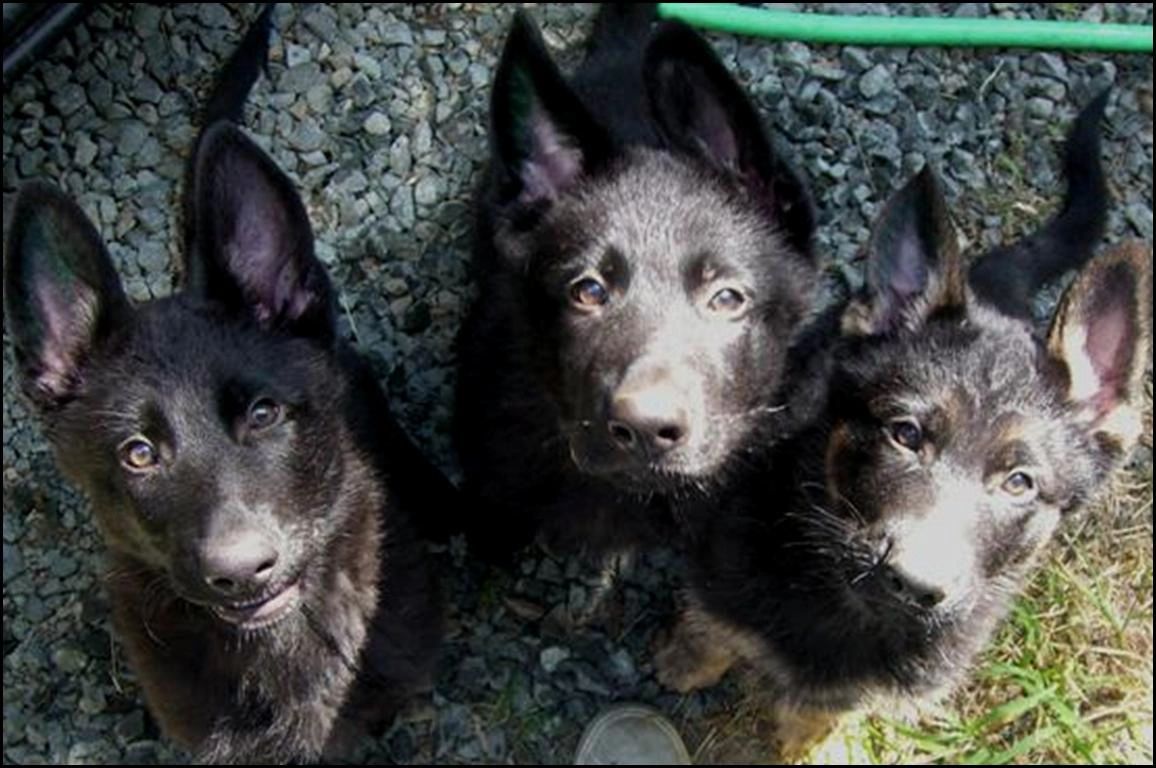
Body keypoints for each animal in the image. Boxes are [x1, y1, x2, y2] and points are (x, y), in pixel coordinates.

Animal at [656, 93, 1151, 754]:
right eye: (906, 434)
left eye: (1019, 483)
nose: (914, 583)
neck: (843, 599)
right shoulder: (721, 573)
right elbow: (711, 625)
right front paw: (684, 662)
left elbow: (818, 717)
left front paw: (809, 748)